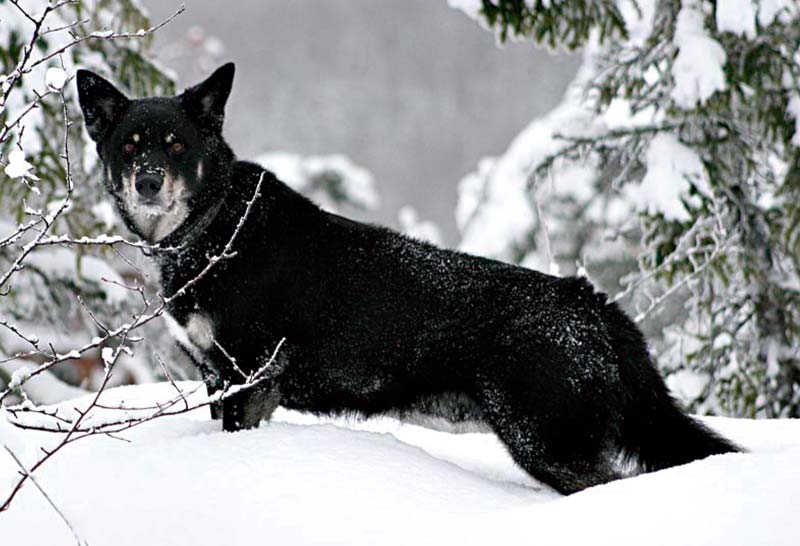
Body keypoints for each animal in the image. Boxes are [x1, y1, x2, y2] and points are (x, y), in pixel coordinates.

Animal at [78, 63, 740, 492]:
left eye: (176, 145)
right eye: (130, 145)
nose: (148, 181)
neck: (216, 231)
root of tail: (589, 302)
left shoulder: (251, 380)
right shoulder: (218, 380)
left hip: (545, 442)